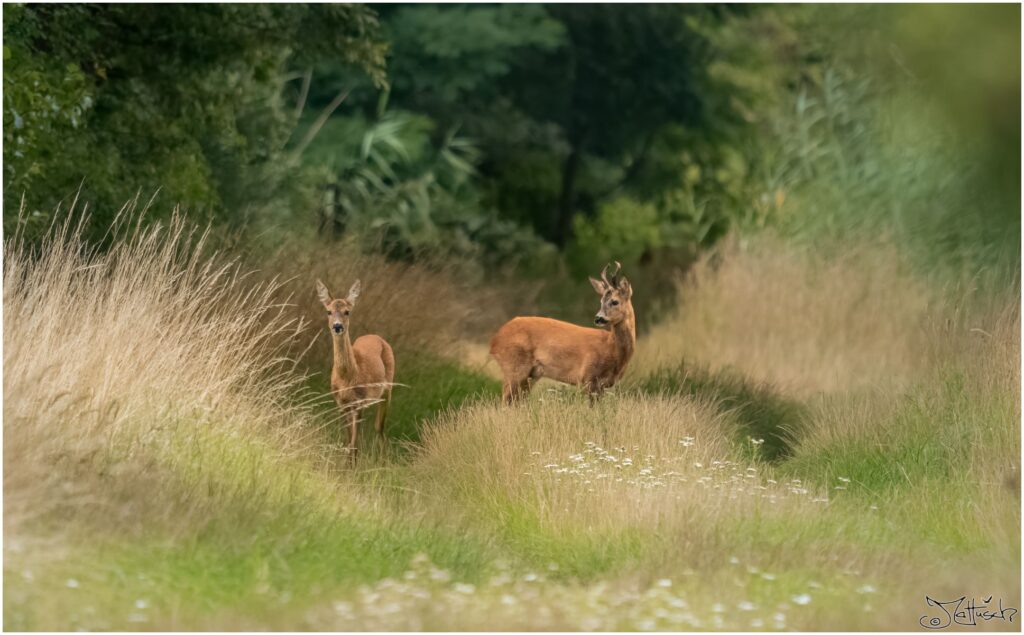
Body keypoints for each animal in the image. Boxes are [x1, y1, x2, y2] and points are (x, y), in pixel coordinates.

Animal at [316, 279, 395, 459]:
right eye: (328, 311)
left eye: (347, 312)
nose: (337, 326)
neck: (347, 378)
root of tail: (376, 336)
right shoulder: (342, 404)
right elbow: (348, 443)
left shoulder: (358, 402)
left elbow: (354, 445)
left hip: (387, 388)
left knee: (379, 428)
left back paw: (384, 461)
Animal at [490, 262, 635, 404]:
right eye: (601, 301)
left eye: (615, 301)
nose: (598, 318)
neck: (612, 348)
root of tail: (494, 340)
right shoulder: (587, 376)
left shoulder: (603, 385)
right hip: (514, 365)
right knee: (505, 400)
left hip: (531, 375)